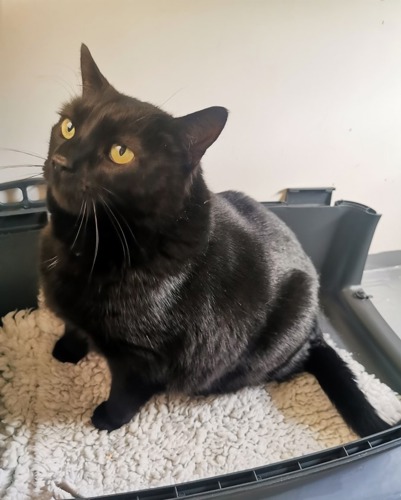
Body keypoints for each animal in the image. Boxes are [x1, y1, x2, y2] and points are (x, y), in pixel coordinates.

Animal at [39, 45, 390, 436]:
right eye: (68, 126)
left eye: (120, 152)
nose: (61, 161)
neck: (86, 242)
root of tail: (315, 327)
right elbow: (72, 325)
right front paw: (65, 352)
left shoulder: (143, 359)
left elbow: (126, 393)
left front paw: (106, 420)